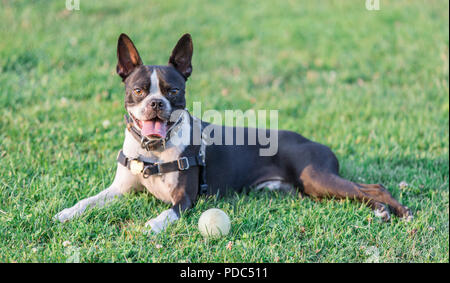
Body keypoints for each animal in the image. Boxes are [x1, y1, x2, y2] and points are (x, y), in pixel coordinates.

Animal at [54, 33, 414, 233]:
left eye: (173, 91)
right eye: (139, 91)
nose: (156, 103)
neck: (153, 151)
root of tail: (316, 143)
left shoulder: (185, 199)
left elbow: (167, 213)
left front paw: (153, 224)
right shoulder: (120, 189)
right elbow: (89, 200)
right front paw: (68, 212)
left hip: (316, 178)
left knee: (373, 187)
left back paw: (396, 210)